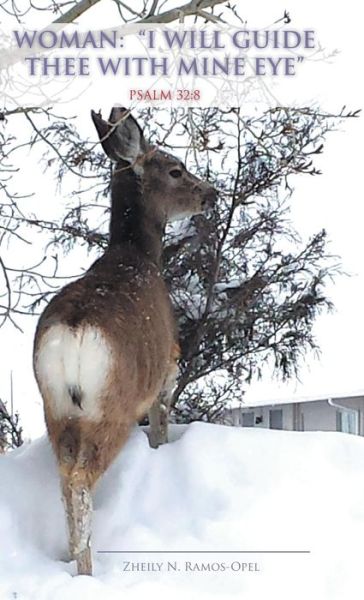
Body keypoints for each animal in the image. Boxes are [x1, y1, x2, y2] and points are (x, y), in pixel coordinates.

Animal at [32, 108, 216, 576]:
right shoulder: (167, 367)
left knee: (64, 479)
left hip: (54, 408)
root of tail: (74, 331)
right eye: (176, 169)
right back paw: (87, 568)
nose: (210, 193)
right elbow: (161, 425)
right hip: (109, 405)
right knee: (81, 480)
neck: (140, 257)